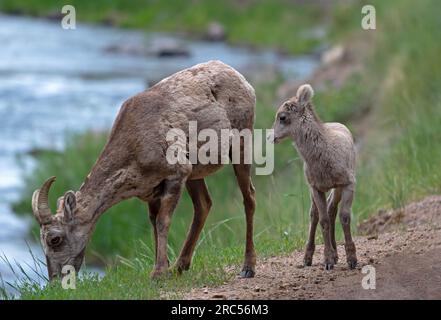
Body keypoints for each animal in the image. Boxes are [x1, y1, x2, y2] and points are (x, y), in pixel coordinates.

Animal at [31, 60, 256, 280]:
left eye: (54, 239)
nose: (56, 280)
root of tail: (244, 82)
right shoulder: (151, 191)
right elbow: (153, 223)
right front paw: (162, 268)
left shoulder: (176, 175)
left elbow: (163, 222)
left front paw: (158, 274)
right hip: (196, 174)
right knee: (203, 205)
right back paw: (179, 267)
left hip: (240, 146)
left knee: (249, 197)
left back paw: (247, 268)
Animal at [268, 84, 358, 270]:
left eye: (282, 117)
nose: (271, 137)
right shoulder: (316, 188)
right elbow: (322, 220)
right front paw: (328, 261)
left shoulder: (347, 184)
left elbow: (345, 217)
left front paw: (352, 260)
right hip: (314, 190)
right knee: (315, 215)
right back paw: (308, 258)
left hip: (336, 189)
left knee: (332, 210)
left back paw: (336, 255)